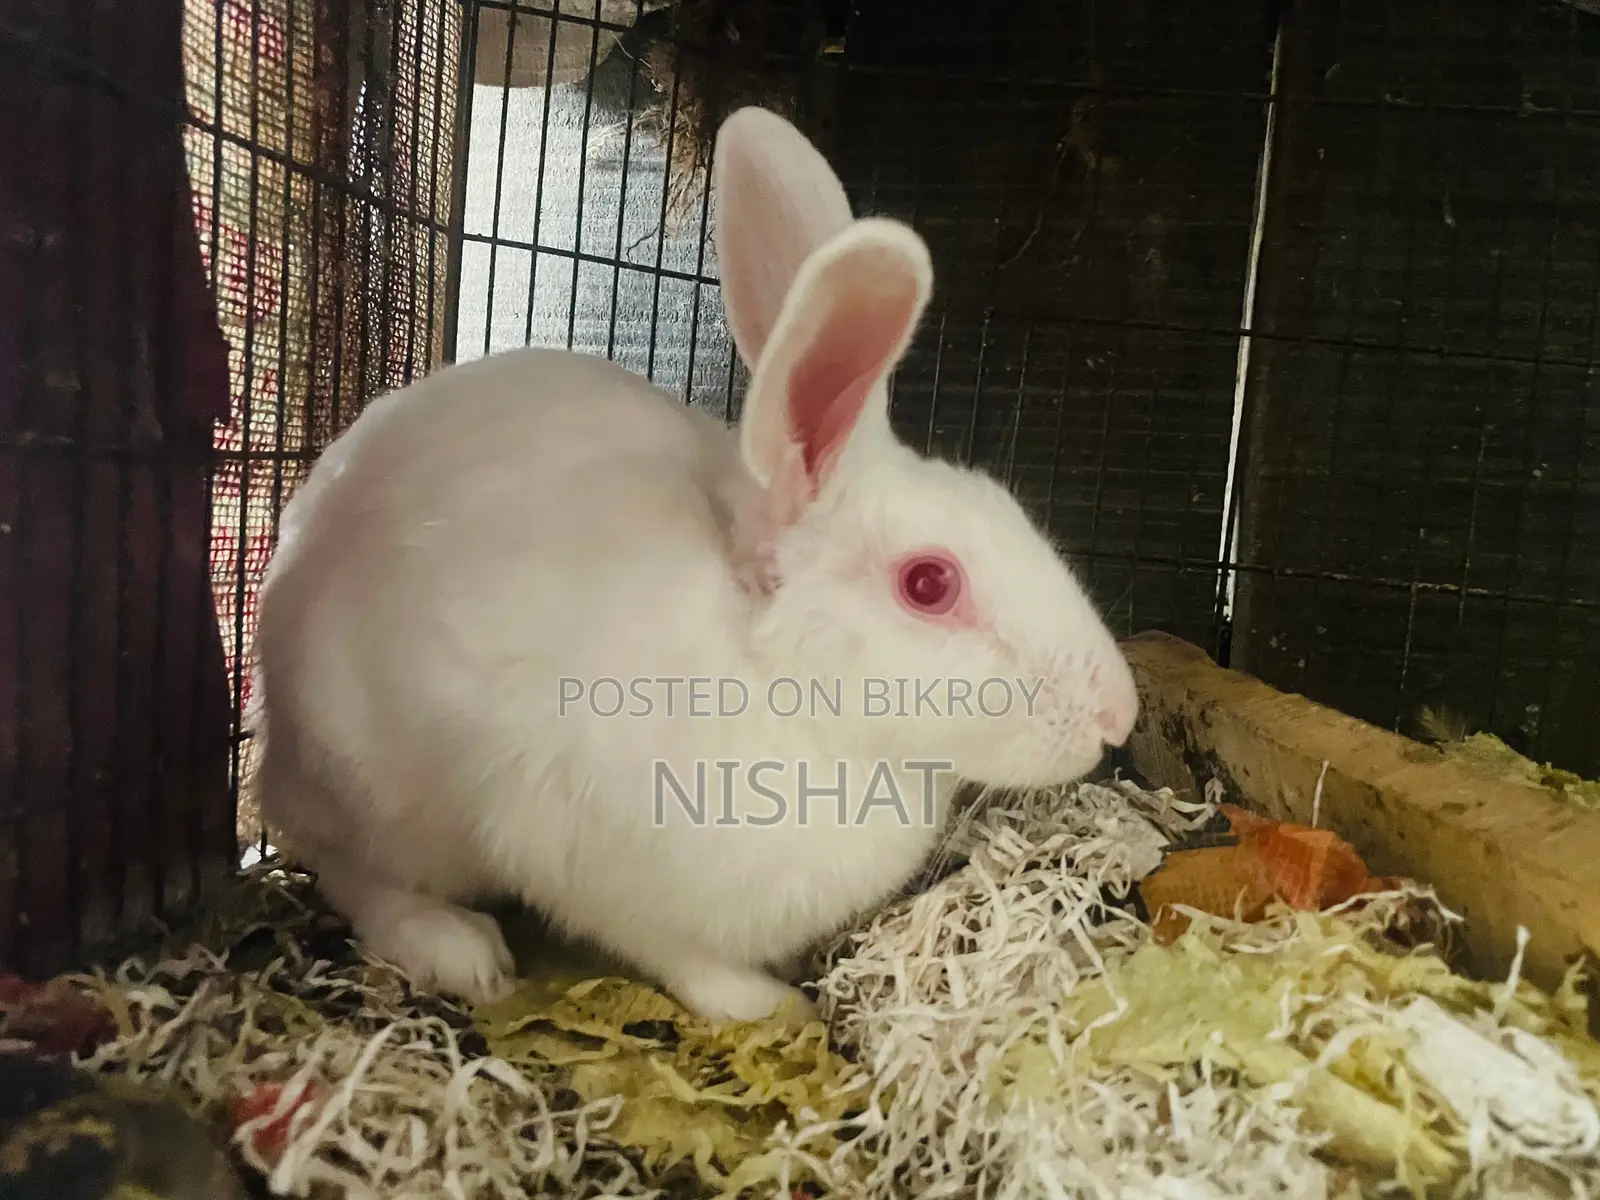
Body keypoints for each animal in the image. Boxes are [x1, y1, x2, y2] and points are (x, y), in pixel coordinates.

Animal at [248, 105, 1140, 1023]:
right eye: (930, 583)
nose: (1119, 716)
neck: (784, 686)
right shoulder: (587, 859)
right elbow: (679, 956)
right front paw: (768, 1003)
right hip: (373, 784)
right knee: (343, 862)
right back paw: (458, 950)